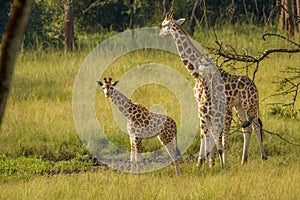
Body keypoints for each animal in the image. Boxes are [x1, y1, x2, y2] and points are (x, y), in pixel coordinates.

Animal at [159, 11, 268, 166]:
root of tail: (255, 86)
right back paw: (243, 159)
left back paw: (263, 156)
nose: (160, 34)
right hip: (239, 106)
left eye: (164, 25)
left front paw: (209, 161)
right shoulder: (203, 105)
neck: (196, 73)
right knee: (246, 127)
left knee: (256, 125)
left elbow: (212, 133)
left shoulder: (211, 106)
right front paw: (208, 161)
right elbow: (207, 133)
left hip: (250, 104)